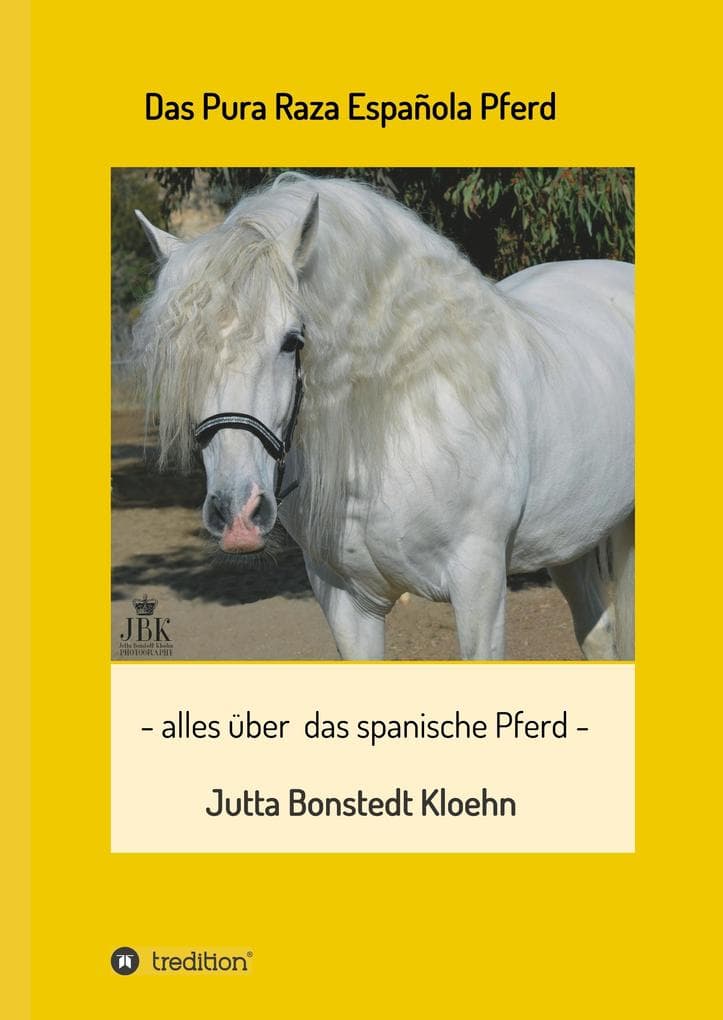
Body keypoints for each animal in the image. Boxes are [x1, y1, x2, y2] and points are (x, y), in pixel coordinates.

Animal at [135, 173, 634, 660]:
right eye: (182, 354)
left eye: (292, 341)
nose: (238, 516)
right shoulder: (345, 602)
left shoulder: (480, 585)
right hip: (569, 540)